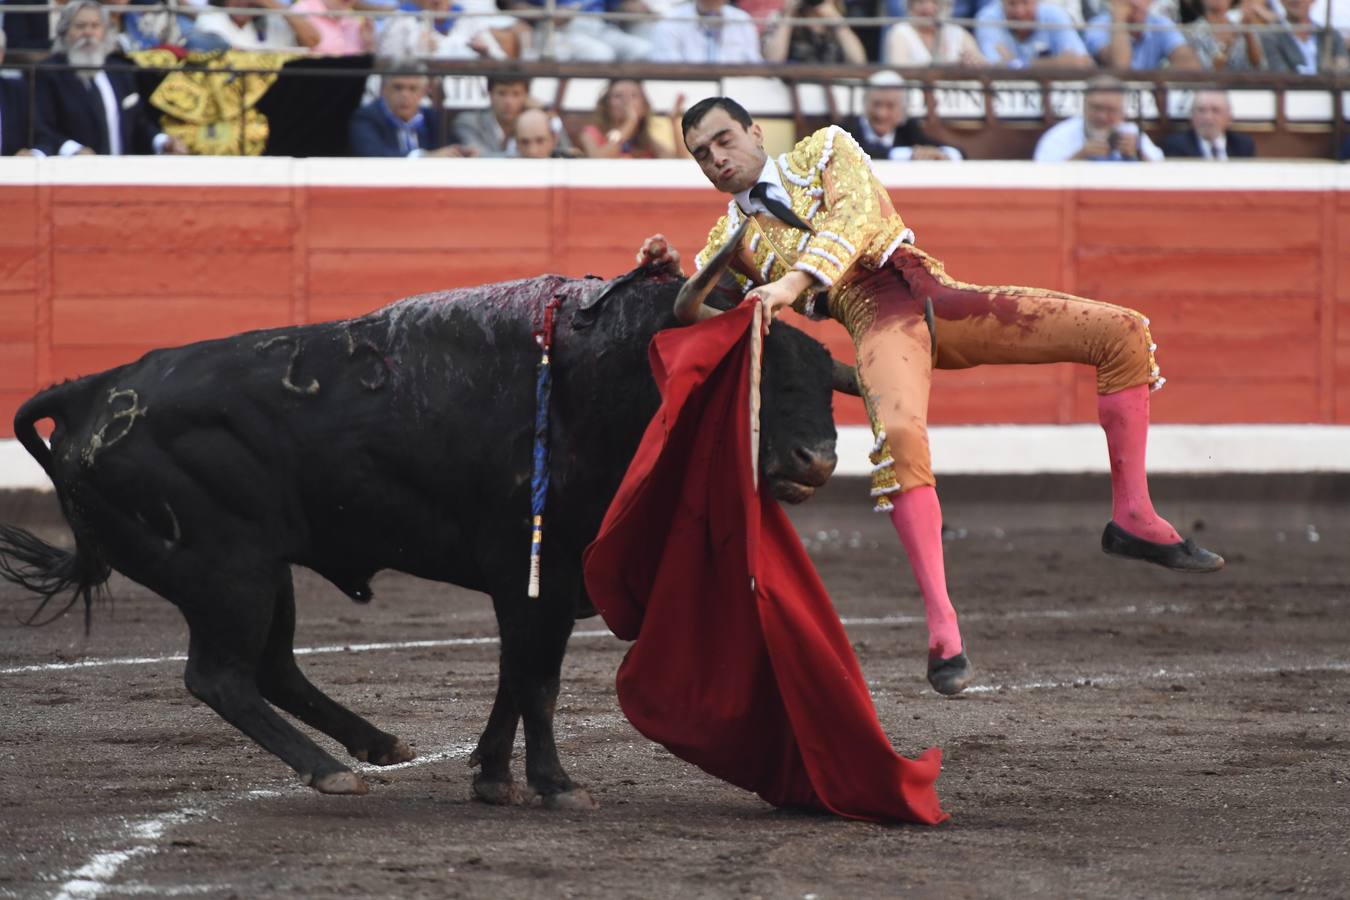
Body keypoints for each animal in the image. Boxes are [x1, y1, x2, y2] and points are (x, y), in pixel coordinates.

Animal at [0, 267, 847, 809]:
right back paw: (331, 772)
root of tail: (94, 390)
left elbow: (513, 675)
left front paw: (493, 778)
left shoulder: (529, 583)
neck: (593, 380)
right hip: (226, 569)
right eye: (759, 375)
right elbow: (536, 679)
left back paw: (377, 746)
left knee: (270, 668)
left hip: (265, 570)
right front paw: (556, 785)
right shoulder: (535, 570)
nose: (816, 460)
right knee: (221, 677)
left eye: (821, 378)